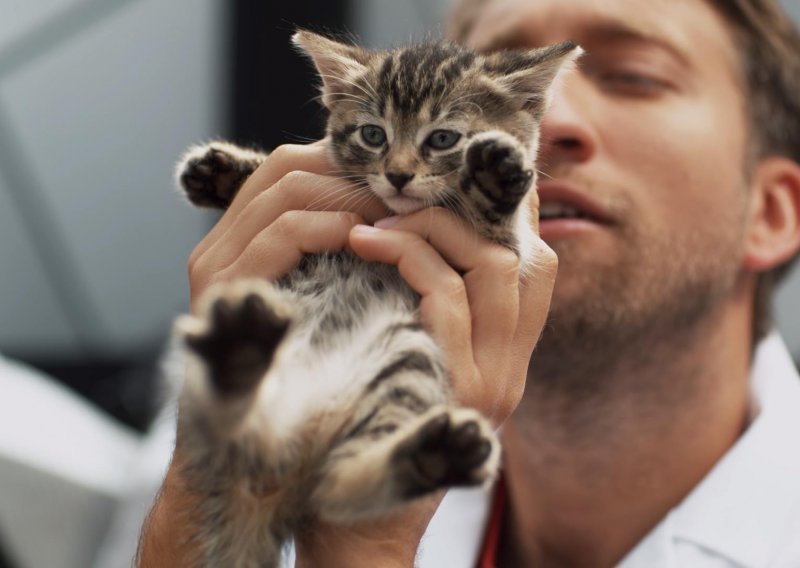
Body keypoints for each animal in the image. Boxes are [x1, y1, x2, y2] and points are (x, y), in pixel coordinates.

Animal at [173, 31, 580, 568]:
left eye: (443, 139)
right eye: (373, 135)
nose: (399, 175)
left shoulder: (508, 250)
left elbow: (491, 220)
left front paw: (493, 178)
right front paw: (223, 172)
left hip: (409, 353)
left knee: (333, 487)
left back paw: (432, 453)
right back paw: (238, 353)